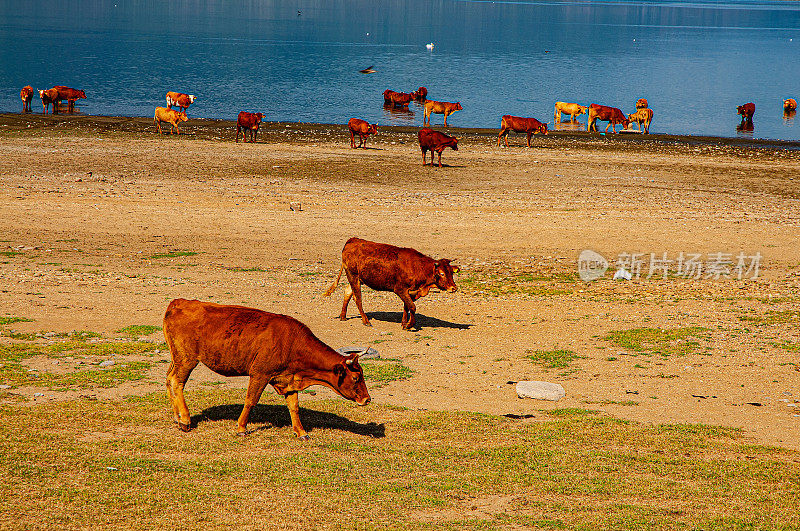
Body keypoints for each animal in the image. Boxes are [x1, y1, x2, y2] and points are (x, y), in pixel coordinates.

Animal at [167, 300, 374, 440]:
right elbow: (251, 400)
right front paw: (241, 428)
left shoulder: (288, 379)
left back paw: (177, 418)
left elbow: (294, 407)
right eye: (356, 378)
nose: (367, 399)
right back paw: (185, 420)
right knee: (177, 382)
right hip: (187, 360)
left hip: (177, 359)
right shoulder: (260, 374)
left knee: (169, 379)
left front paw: (301, 432)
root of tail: (179, 303)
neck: (291, 342)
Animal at [324, 239, 460, 330]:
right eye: (441, 273)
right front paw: (409, 325)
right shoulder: (400, 289)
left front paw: (404, 323)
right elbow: (412, 307)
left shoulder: (410, 291)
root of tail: (352, 240)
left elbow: (407, 306)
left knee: (348, 291)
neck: (418, 267)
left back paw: (343, 316)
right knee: (357, 298)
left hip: (358, 279)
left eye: (451, 273)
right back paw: (366, 321)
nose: (454, 288)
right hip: (353, 276)